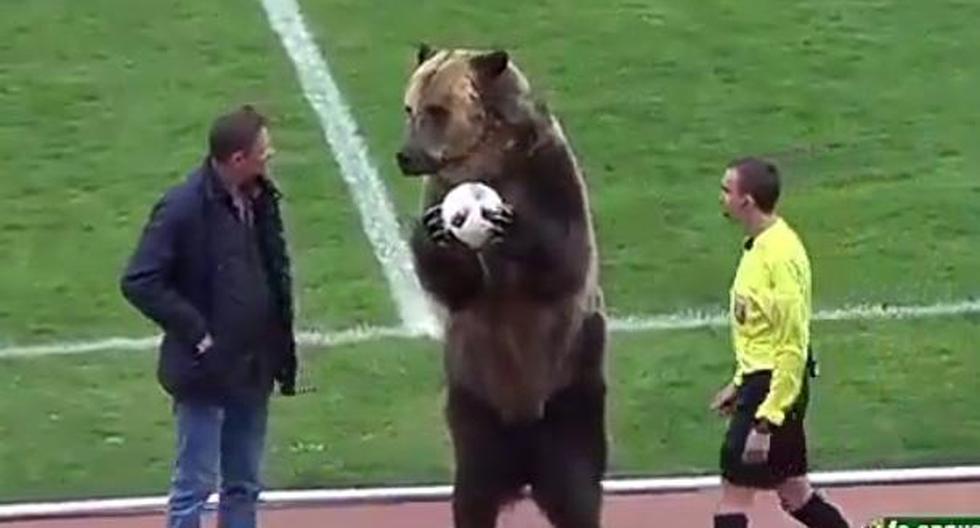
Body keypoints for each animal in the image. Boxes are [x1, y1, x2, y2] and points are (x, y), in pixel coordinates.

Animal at [394, 44, 608, 528]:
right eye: (410, 108)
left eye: (437, 110)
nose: (405, 156)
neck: (490, 162)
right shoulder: (440, 187)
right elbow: (457, 286)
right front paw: (437, 234)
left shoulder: (549, 176)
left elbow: (562, 259)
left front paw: (509, 224)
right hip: (473, 401)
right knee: (472, 493)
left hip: (571, 390)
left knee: (576, 489)